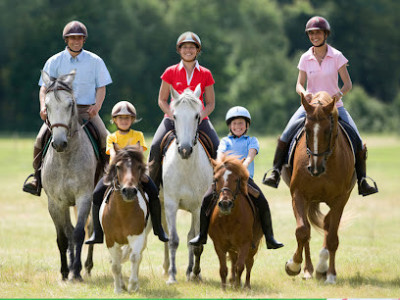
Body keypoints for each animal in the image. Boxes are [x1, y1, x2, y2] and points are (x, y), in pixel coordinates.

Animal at [40, 70, 97, 282]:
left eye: (70, 104)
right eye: (47, 106)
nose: (59, 143)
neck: (65, 159)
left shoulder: (84, 198)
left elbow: (80, 233)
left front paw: (77, 271)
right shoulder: (56, 203)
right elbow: (63, 238)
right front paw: (65, 272)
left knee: (91, 229)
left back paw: (86, 267)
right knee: (69, 231)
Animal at [100, 145, 152, 292]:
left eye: (139, 167)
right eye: (118, 167)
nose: (129, 191)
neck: (122, 213)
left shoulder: (138, 237)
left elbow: (134, 257)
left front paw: (132, 285)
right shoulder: (110, 240)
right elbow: (116, 265)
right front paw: (118, 288)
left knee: (137, 256)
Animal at [161, 84, 214, 284]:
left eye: (197, 116)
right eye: (175, 116)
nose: (184, 150)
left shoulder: (199, 208)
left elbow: (196, 243)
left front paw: (195, 273)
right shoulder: (170, 204)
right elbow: (173, 239)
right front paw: (171, 276)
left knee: (191, 236)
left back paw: (190, 271)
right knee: (166, 234)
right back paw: (166, 269)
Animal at [208, 154, 264, 290]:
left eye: (236, 179)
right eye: (216, 179)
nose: (225, 204)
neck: (229, 219)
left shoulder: (245, 244)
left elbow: (240, 266)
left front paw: (239, 287)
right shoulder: (219, 245)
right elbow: (223, 268)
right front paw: (224, 288)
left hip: (253, 245)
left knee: (249, 262)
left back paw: (246, 285)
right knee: (233, 260)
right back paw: (232, 281)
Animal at [282, 91, 356, 284]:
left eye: (328, 131)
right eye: (306, 130)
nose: (315, 169)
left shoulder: (339, 200)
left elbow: (332, 237)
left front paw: (330, 274)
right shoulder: (298, 195)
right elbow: (302, 231)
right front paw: (293, 265)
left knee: (327, 226)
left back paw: (322, 268)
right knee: (309, 230)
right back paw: (308, 270)